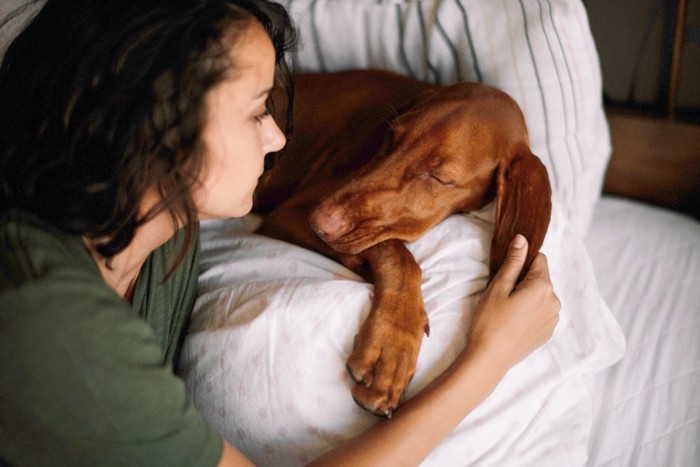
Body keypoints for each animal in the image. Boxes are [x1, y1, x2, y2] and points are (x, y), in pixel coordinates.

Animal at [253, 69, 552, 416]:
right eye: (390, 138)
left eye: (438, 178)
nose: (320, 220)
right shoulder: (290, 212)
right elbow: (397, 253)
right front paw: (391, 345)